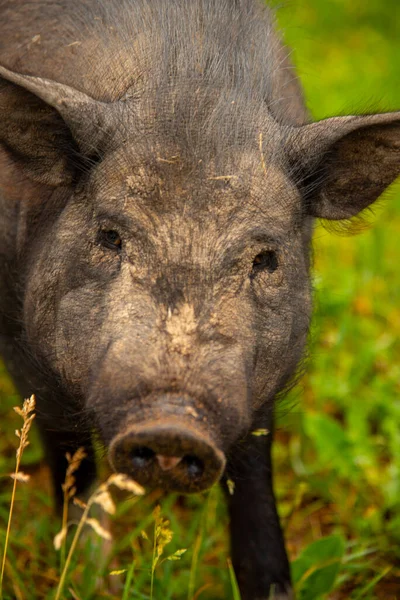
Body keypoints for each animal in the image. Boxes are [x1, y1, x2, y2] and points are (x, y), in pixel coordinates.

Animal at [0, 1, 398, 600]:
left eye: (266, 258)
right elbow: (73, 462)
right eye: (109, 236)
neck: (191, 84)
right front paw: (89, 575)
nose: (172, 423)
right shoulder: (22, 344)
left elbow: (254, 477)